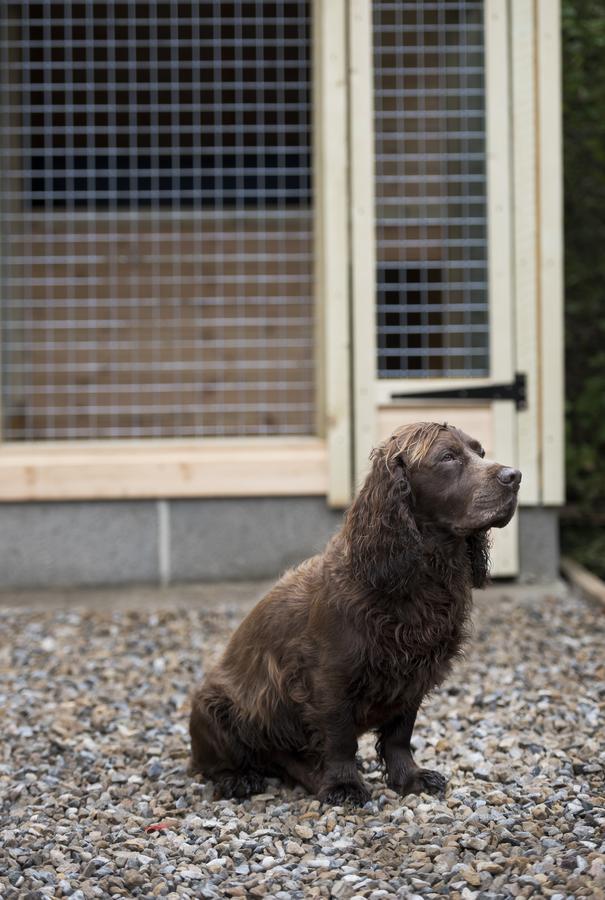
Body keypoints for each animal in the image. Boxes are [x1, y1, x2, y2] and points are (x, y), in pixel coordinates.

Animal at [189, 426, 520, 804]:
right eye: (447, 457)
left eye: (480, 452)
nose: (515, 476)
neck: (417, 577)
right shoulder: (329, 676)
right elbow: (339, 737)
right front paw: (344, 785)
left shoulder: (414, 674)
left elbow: (399, 735)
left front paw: (409, 777)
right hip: (214, 706)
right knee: (214, 762)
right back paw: (239, 779)